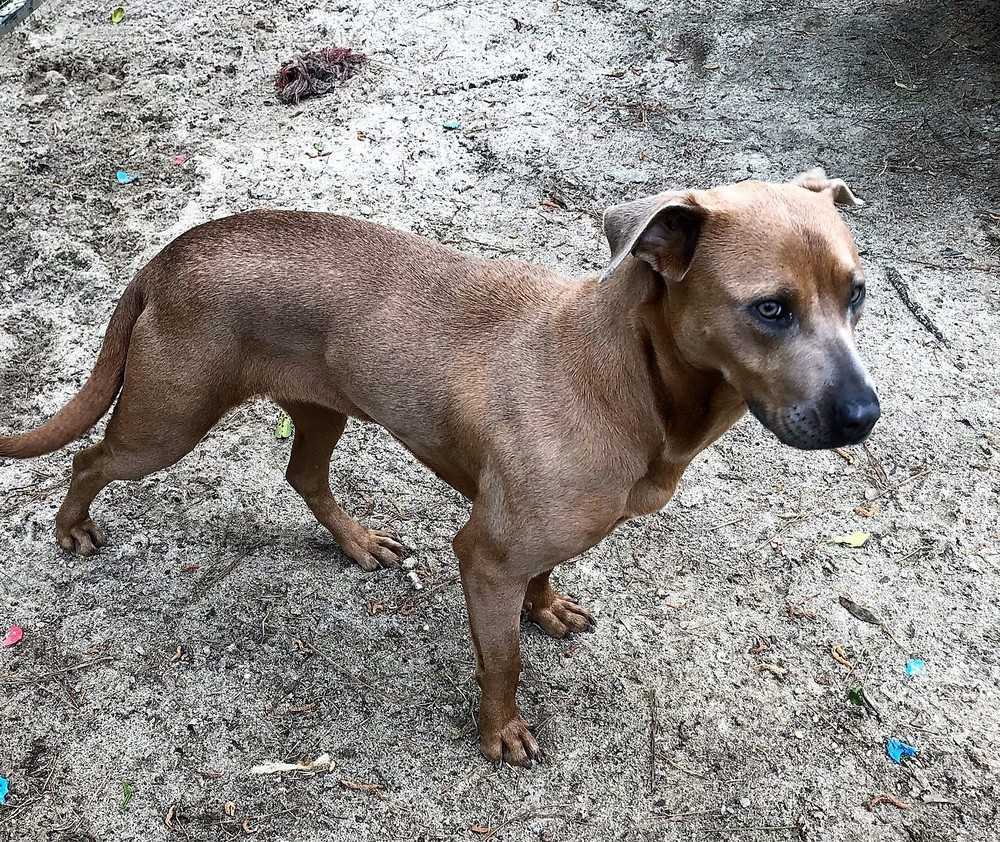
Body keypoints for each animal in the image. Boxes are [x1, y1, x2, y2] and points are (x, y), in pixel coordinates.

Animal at [0, 166, 876, 760]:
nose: (865, 416)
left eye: (858, 293)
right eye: (769, 309)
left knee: (303, 477)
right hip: (165, 423)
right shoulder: (485, 556)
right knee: (87, 456)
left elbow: (545, 578)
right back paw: (72, 530)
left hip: (319, 409)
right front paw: (501, 733)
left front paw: (547, 609)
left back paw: (359, 544)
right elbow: (504, 662)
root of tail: (169, 255)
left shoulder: (536, 537)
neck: (624, 371)